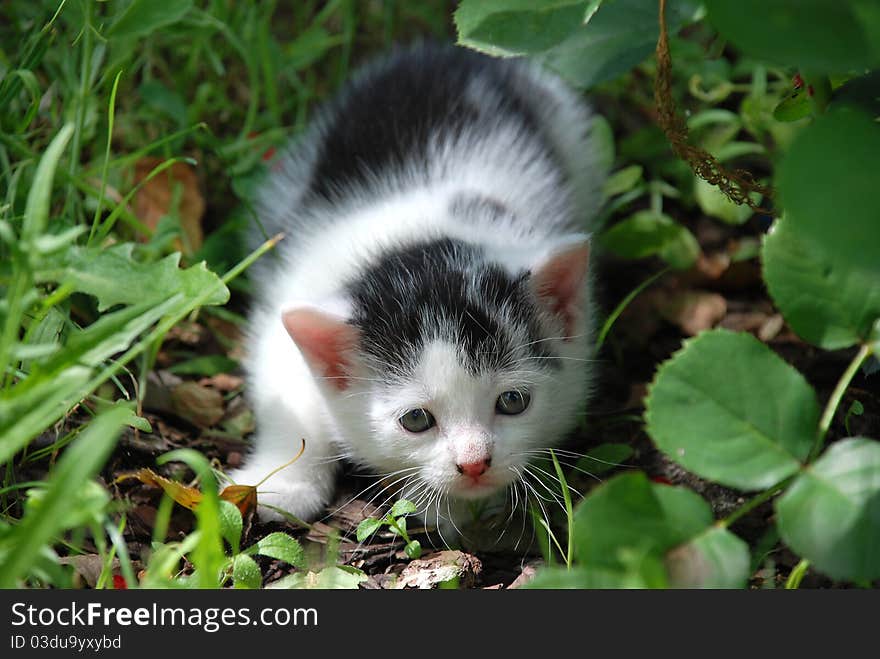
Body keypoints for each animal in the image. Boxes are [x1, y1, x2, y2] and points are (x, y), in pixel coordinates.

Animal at [229, 41, 604, 540]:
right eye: (416, 420)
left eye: (513, 402)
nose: (474, 464)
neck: (415, 236)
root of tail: (447, 51)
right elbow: (286, 395)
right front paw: (280, 484)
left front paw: (454, 509)